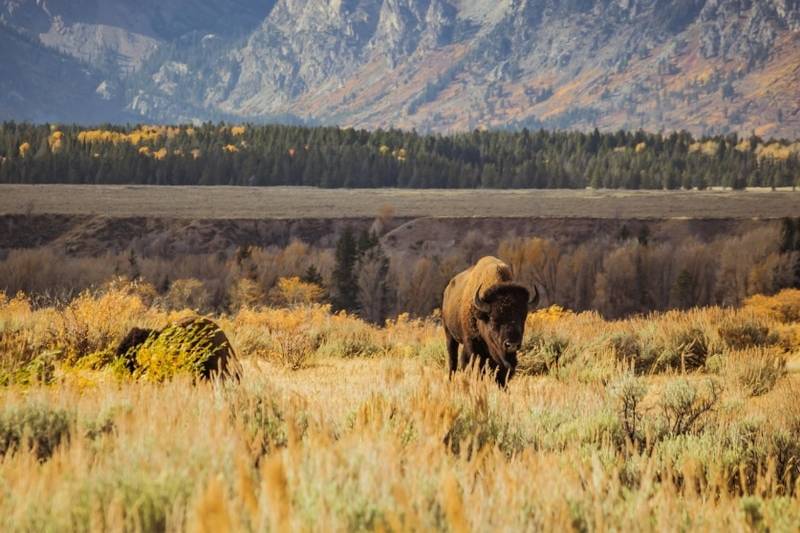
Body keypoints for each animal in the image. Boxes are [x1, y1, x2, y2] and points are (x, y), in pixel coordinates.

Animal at [444, 256, 536, 384]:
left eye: (522, 318)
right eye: (493, 319)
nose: (512, 345)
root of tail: (447, 290)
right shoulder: (472, 344)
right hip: (449, 335)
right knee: (453, 361)